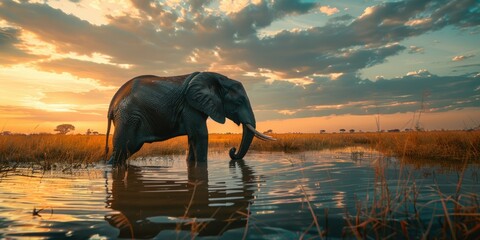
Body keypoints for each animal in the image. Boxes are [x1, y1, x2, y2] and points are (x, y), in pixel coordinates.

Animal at [105, 71, 276, 165]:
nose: (232, 151)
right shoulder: (190, 106)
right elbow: (200, 135)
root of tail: (112, 105)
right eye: (239, 102)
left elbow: (192, 137)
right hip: (128, 118)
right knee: (123, 149)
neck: (217, 78)